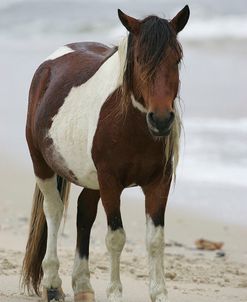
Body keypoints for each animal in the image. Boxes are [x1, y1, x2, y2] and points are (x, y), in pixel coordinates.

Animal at [22, 5, 190, 302]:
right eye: (138, 59)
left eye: (177, 58)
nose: (161, 120)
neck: (129, 124)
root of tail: (47, 67)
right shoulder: (111, 182)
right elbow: (116, 237)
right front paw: (114, 293)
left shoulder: (158, 183)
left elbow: (155, 239)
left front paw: (159, 293)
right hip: (42, 164)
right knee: (53, 210)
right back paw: (53, 283)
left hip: (92, 180)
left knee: (84, 214)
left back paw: (83, 286)